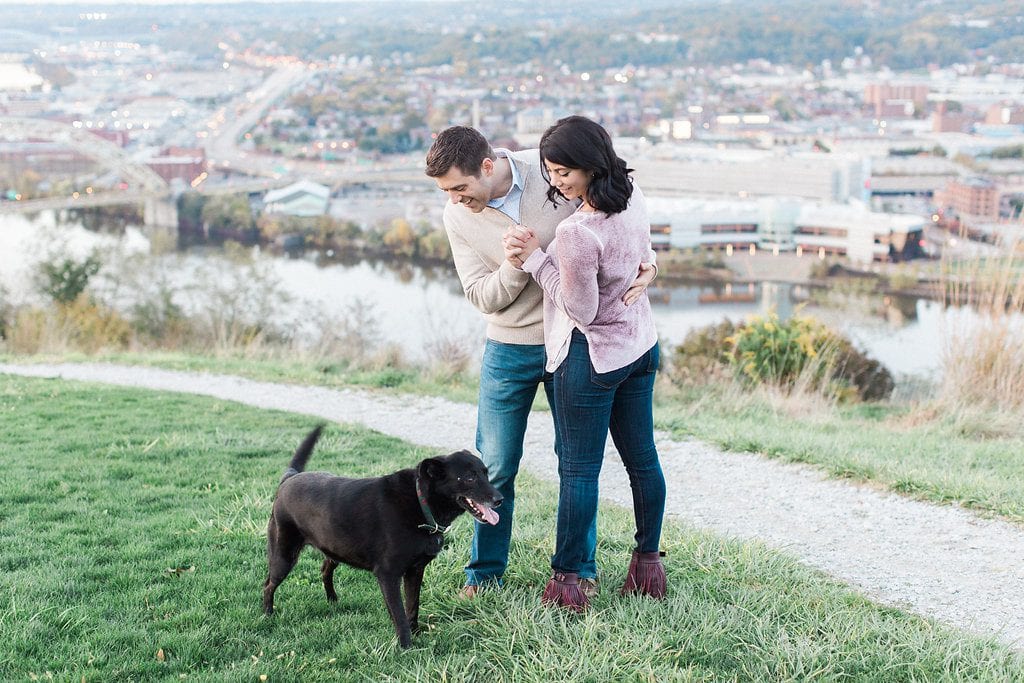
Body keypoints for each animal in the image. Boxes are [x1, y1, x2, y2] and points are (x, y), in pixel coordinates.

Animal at [262, 423, 501, 651]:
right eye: (469, 478)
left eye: (486, 473)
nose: (500, 499)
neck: (420, 502)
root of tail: (289, 478)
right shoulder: (388, 575)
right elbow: (399, 615)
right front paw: (406, 648)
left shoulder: (415, 571)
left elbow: (412, 606)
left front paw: (416, 634)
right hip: (283, 555)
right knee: (268, 584)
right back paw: (267, 614)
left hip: (335, 548)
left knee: (325, 570)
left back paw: (332, 600)